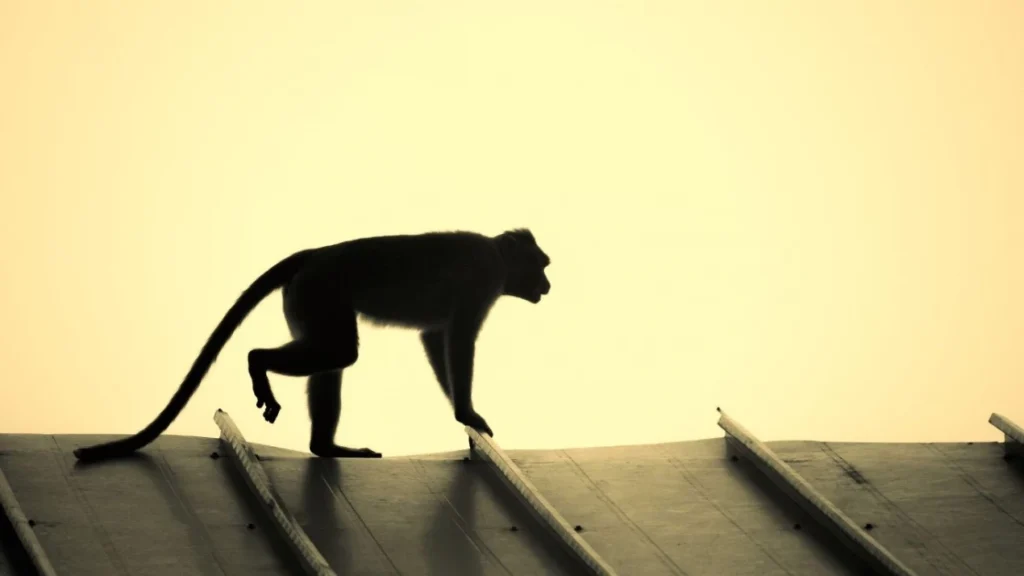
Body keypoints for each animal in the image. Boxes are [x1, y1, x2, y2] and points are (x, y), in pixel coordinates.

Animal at [72, 228, 551, 462]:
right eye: (541, 265)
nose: (548, 285)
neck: (496, 255)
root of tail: (316, 254)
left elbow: (435, 337)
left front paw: (459, 411)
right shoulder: (484, 277)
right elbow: (459, 338)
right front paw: (467, 413)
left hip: (304, 297)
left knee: (334, 357)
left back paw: (325, 446)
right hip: (320, 289)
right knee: (340, 353)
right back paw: (258, 362)